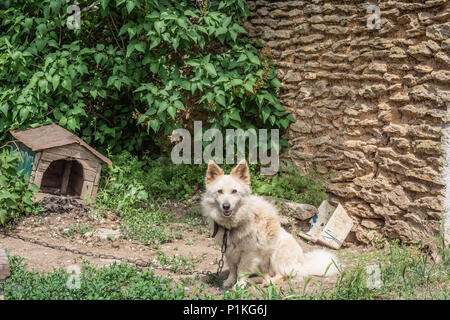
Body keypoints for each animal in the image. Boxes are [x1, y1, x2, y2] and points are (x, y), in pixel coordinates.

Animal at [200, 160, 338, 288]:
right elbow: (233, 270)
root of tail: (302, 262)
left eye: (234, 191)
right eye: (220, 191)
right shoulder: (228, 252)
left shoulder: (248, 254)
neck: (233, 225)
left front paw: (239, 285)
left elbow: (241, 271)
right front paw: (229, 281)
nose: (226, 206)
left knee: (282, 275)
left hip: (276, 256)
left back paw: (267, 282)